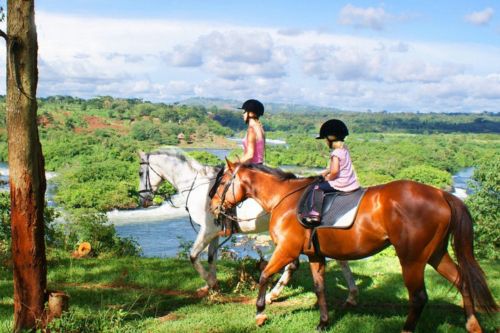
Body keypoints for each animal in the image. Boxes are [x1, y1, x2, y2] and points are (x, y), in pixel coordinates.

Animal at [139, 150, 358, 304]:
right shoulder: (215, 232)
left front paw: (210, 283)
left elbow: (193, 256)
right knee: (337, 260)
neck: (198, 186)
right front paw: (212, 286)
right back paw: (351, 294)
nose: (143, 199)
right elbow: (211, 258)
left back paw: (273, 294)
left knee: (295, 264)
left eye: (141, 172)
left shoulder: (207, 230)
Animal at [208, 160, 496, 330]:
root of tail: (442, 194)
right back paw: (472, 324)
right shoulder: (315, 255)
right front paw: (324, 322)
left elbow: (265, 275)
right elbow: (320, 288)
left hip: (412, 259)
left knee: (418, 298)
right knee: (461, 281)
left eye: (221, 182)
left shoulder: (287, 250)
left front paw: (260, 312)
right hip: (435, 254)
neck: (286, 199)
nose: (212, 207)